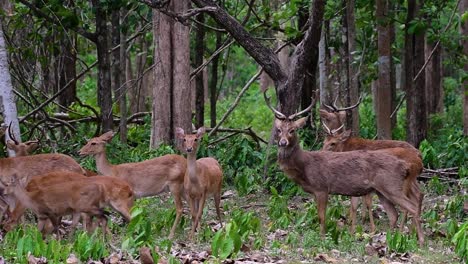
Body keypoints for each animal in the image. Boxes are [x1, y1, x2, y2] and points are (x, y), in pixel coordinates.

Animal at [264, 92, 424, 245]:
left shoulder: (322, 187)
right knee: (395, 213)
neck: (304, 166)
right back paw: (390, 240)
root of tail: (409, 163)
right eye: (278, 130)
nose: (283, 142)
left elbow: (322, 216)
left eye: (292, 130)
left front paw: (323, 239)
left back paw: (419, 241)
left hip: (392, 186)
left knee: (411, 206)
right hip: (382, 190)